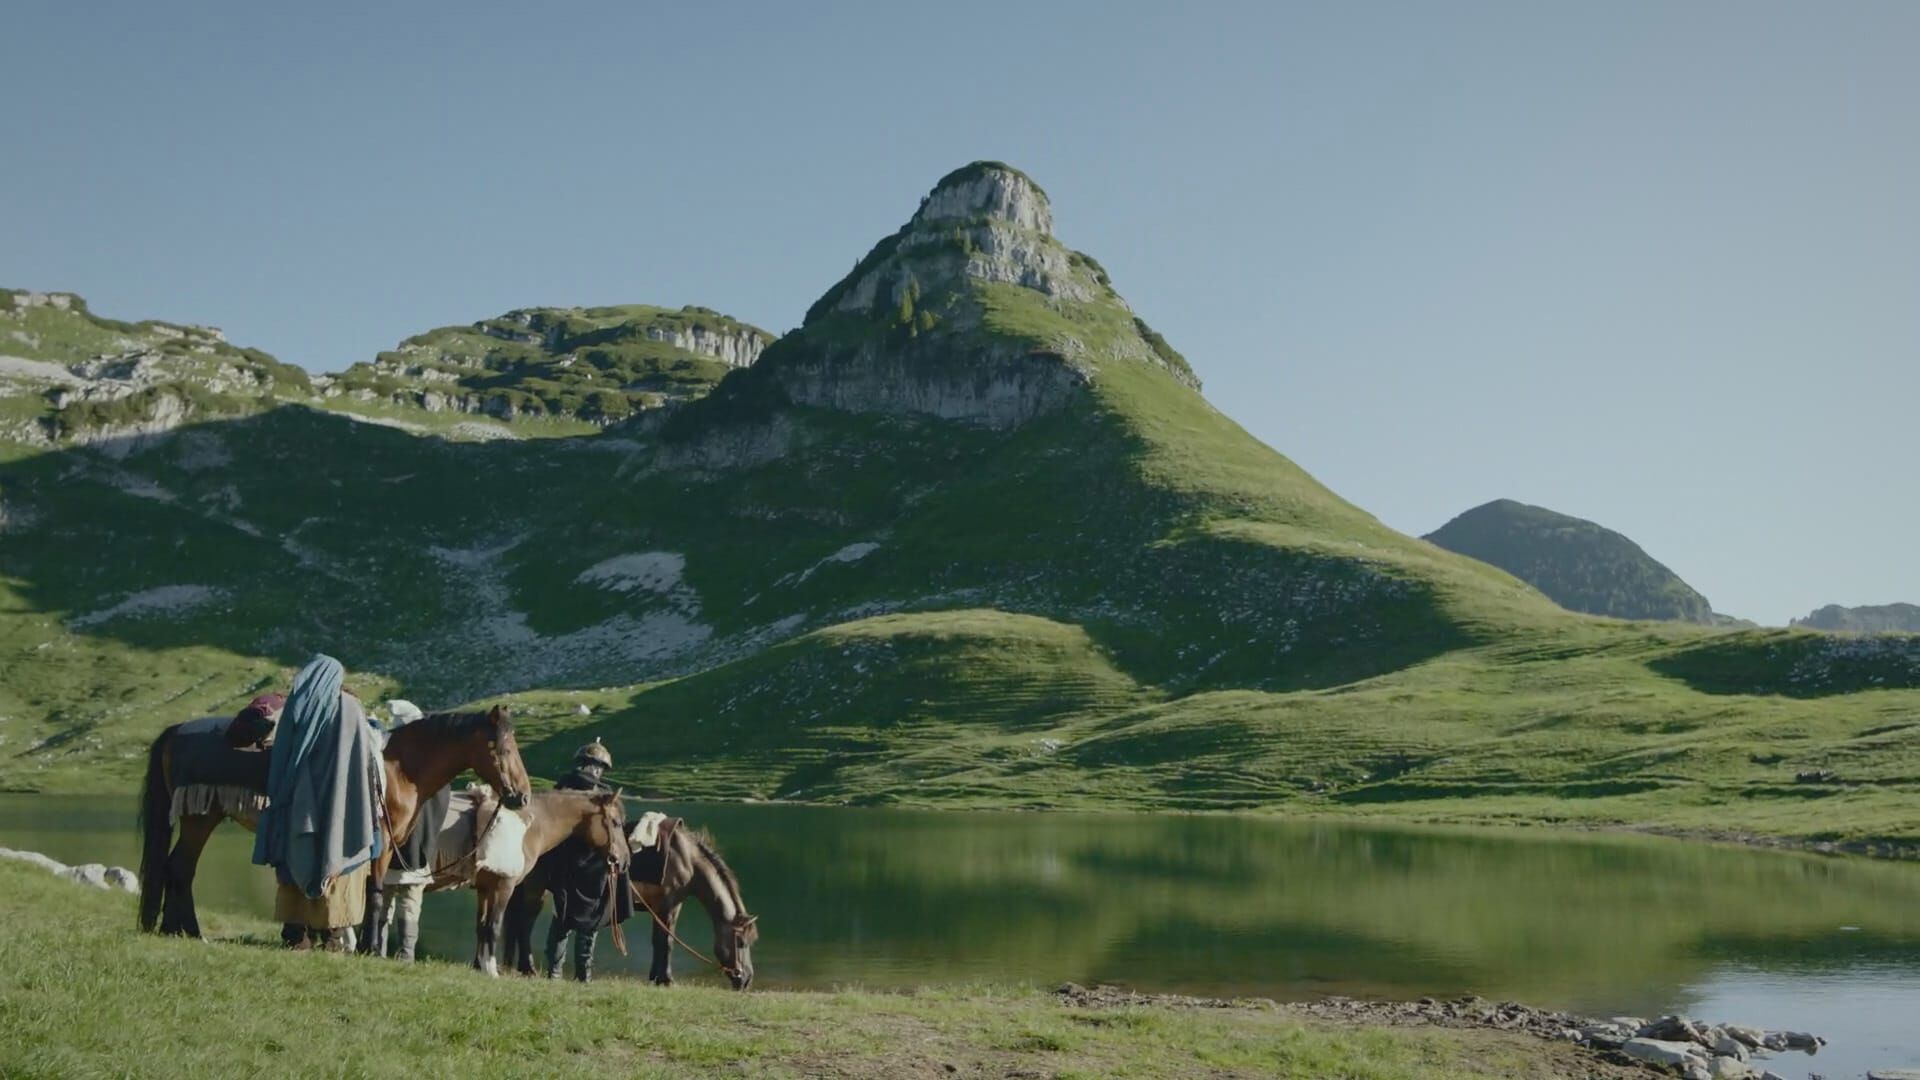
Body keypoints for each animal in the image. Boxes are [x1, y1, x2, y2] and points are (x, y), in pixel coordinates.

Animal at [138, 707, 533, 933]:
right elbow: (375, 895)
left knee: (177, 868)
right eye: (505, 748)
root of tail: (177, 730)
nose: (524, 796)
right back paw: (189, 930)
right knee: (181, 869)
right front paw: (367, 949)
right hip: (200, 816)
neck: (400, 768)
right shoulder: (382, 843)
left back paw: (175, 929)